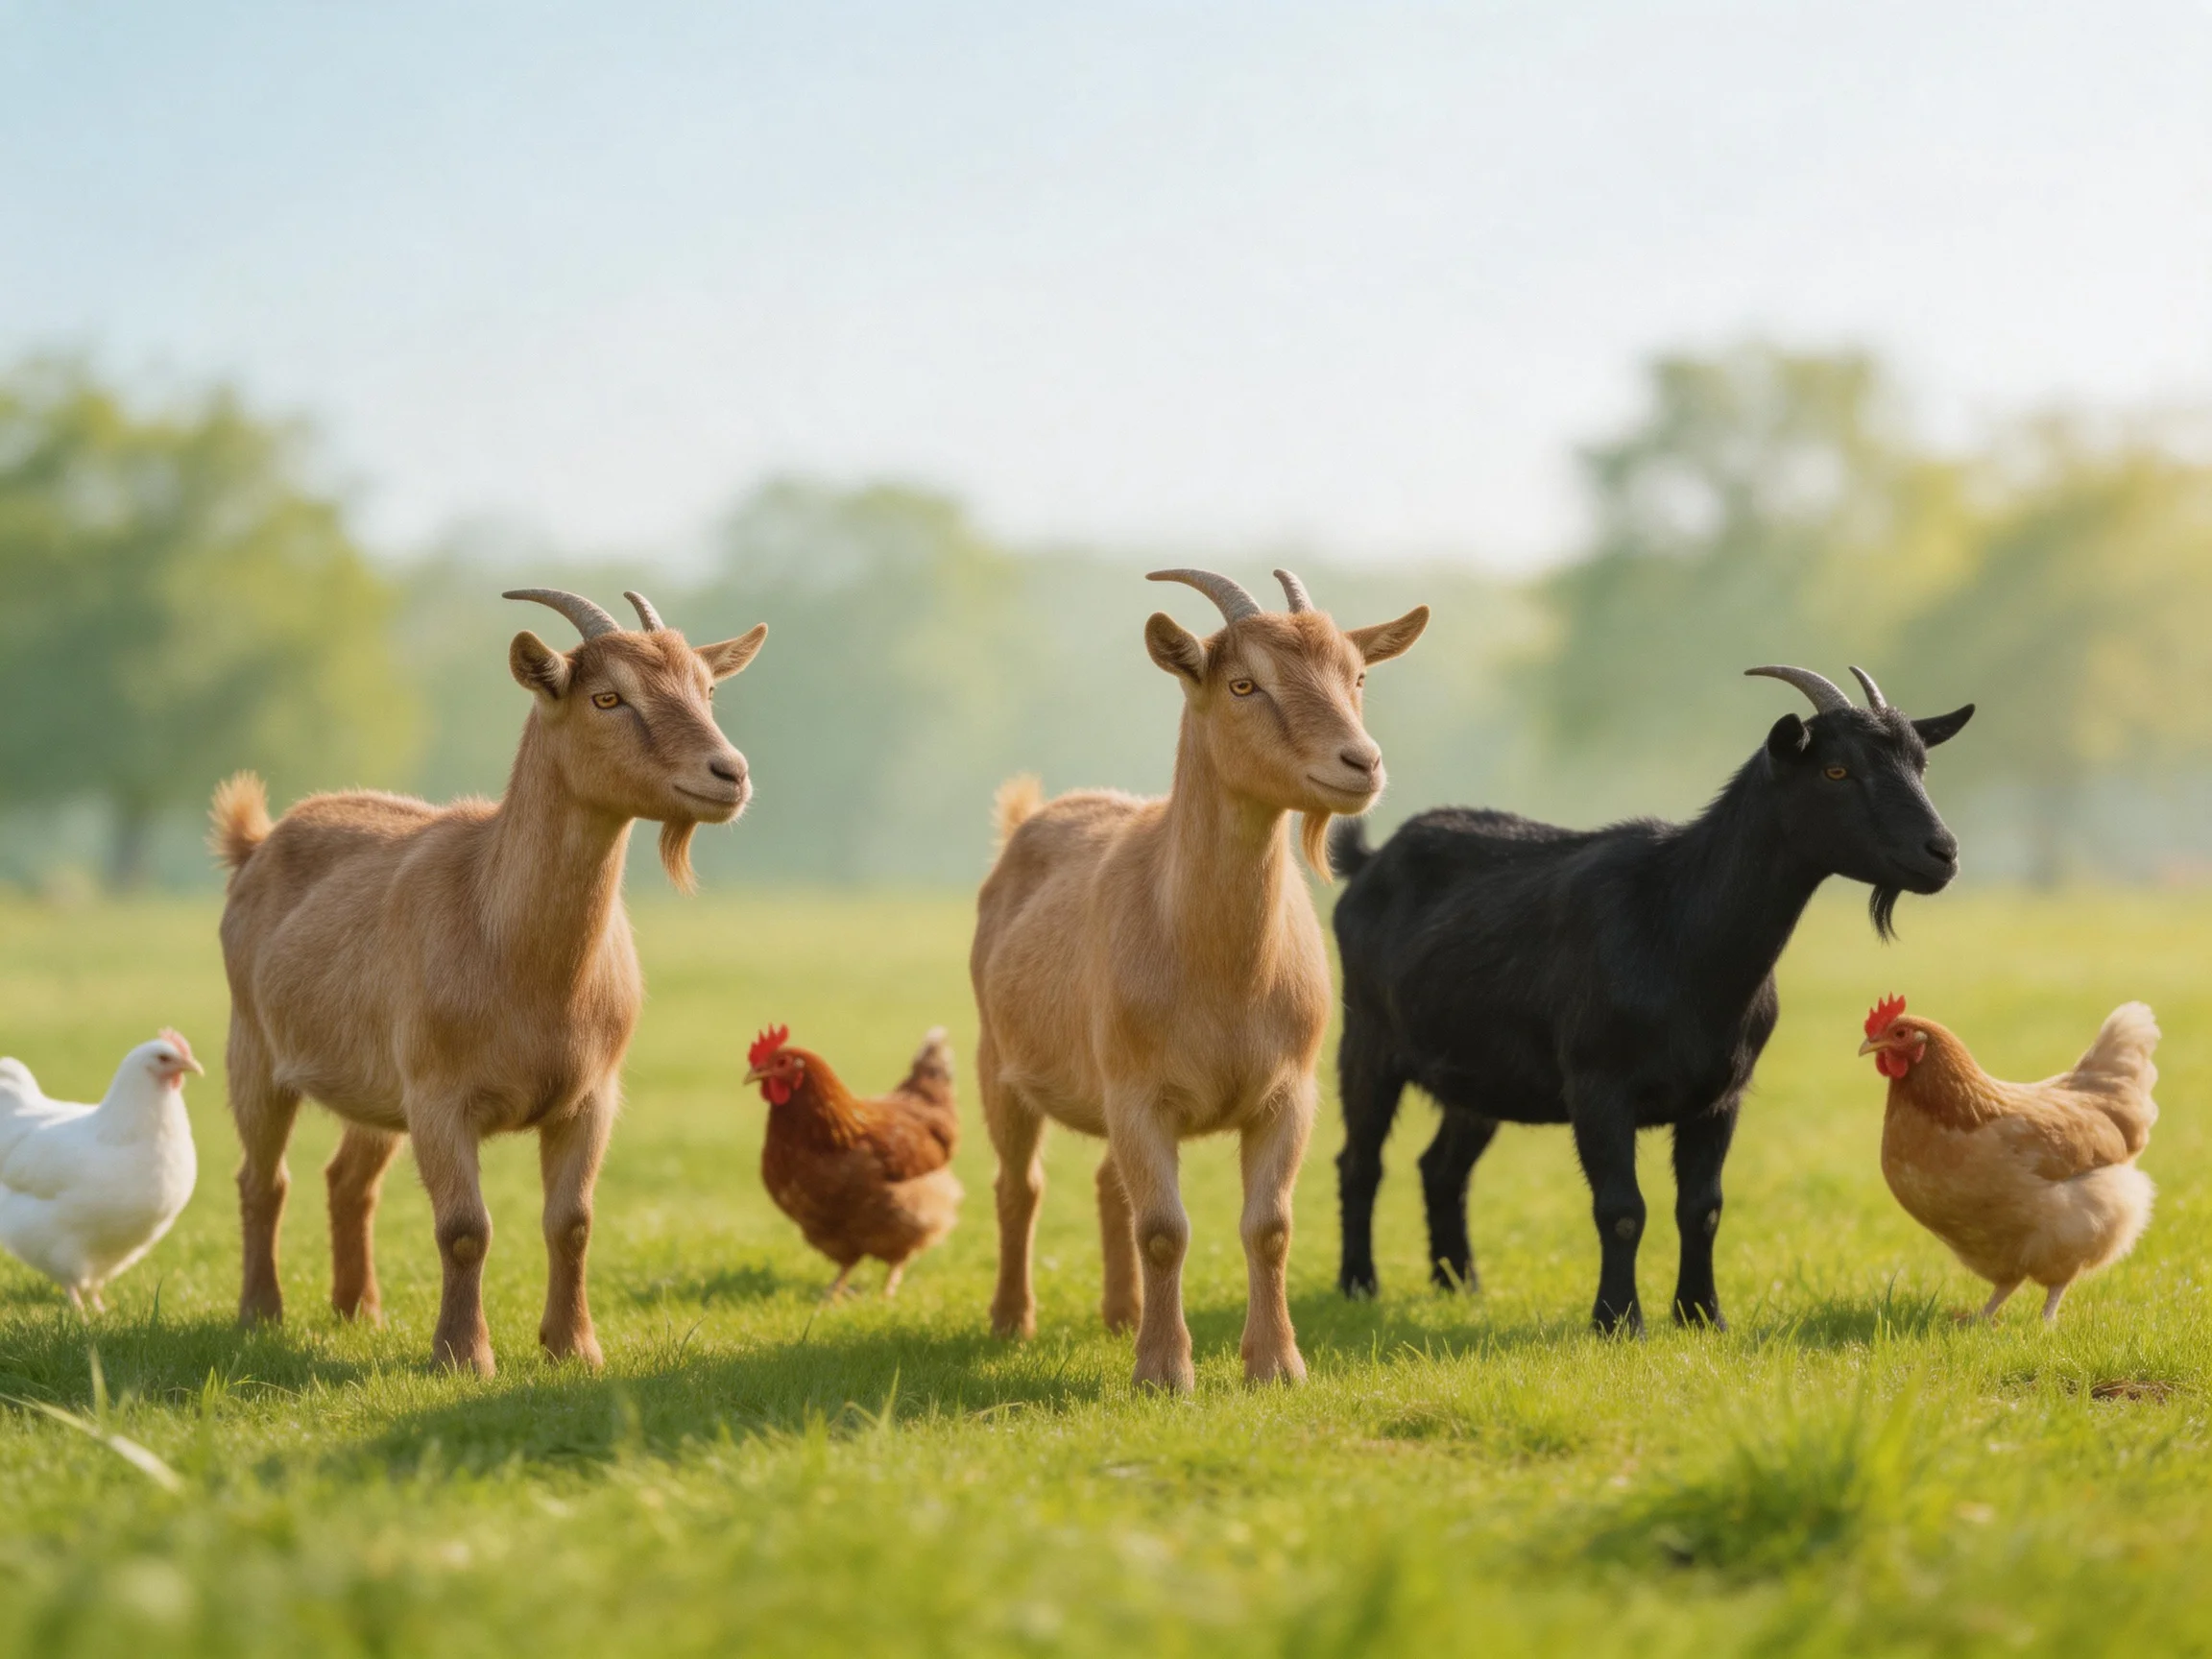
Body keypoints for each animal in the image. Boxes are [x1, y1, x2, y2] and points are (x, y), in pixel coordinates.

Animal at [210, 588, 766, 1374]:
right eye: (607, 697)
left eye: (707, 689)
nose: (730, 773)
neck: (515, 949)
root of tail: (257, 841)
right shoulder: (439, 1095)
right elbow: (465, 1227)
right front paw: (462, 1356)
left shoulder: (591, 1096)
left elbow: (572, 1221)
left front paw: (574, 1347)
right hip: (253, 1048)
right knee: (263, 1178)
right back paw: (261, 1313)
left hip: (373, 1087)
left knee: (348, 1180)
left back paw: (359, 1311)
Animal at [972, 567, 1429, 1390]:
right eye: (1244, 684)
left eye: (1358, 676)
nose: (1361, 762)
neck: (1221, 973)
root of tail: (1032, 817)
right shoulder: (1139, 1092)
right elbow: (1163, 1229)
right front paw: (1163, 1373)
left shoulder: (1289, 1092)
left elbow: (1269, 1226)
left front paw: (1275, 1365)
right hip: (999, 1061)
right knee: (1019, 1185)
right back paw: (1011, 1321)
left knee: (1106, 1185)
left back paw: (1120, 1314)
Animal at [1329, 664, 1974, 1332]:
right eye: (1837, 770)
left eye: (1921, 763)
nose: (1942, 853)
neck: (1678, 924)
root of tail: (1369, 862)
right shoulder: (1598, 1084)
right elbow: (1621, 1209)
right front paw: (1617, 1322)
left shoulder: (1721, 1094)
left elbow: (1703, 1207)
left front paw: (1702, 1315)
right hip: (1365, 1040)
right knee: (1360, 1163)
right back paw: (1358, 1285)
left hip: (1478, 1075)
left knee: (1441, 1168)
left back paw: (1460, 1285)